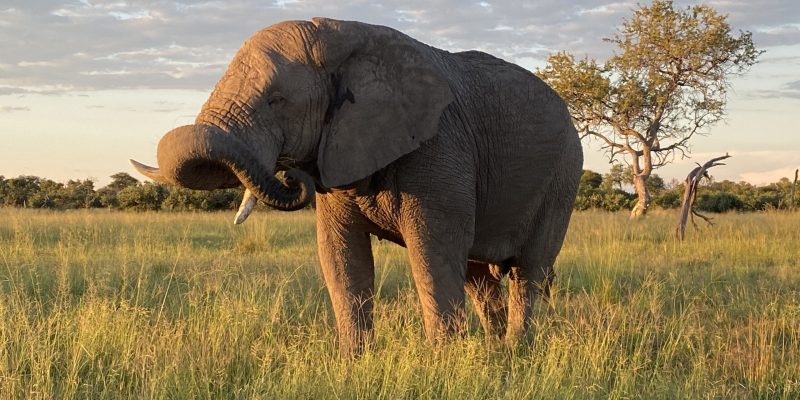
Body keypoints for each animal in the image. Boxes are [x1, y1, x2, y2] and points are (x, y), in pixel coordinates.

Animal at [130, 17, 580, 354]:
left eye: (277, 101)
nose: (290, 174)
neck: (342, 36)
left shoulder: (440, 147)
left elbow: (432, 257)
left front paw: (445, 365)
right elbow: (341, 256)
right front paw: (353, 363)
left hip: (562, 178)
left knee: (528, 272)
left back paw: (515, 351)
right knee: (478, 277)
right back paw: (494, 351)